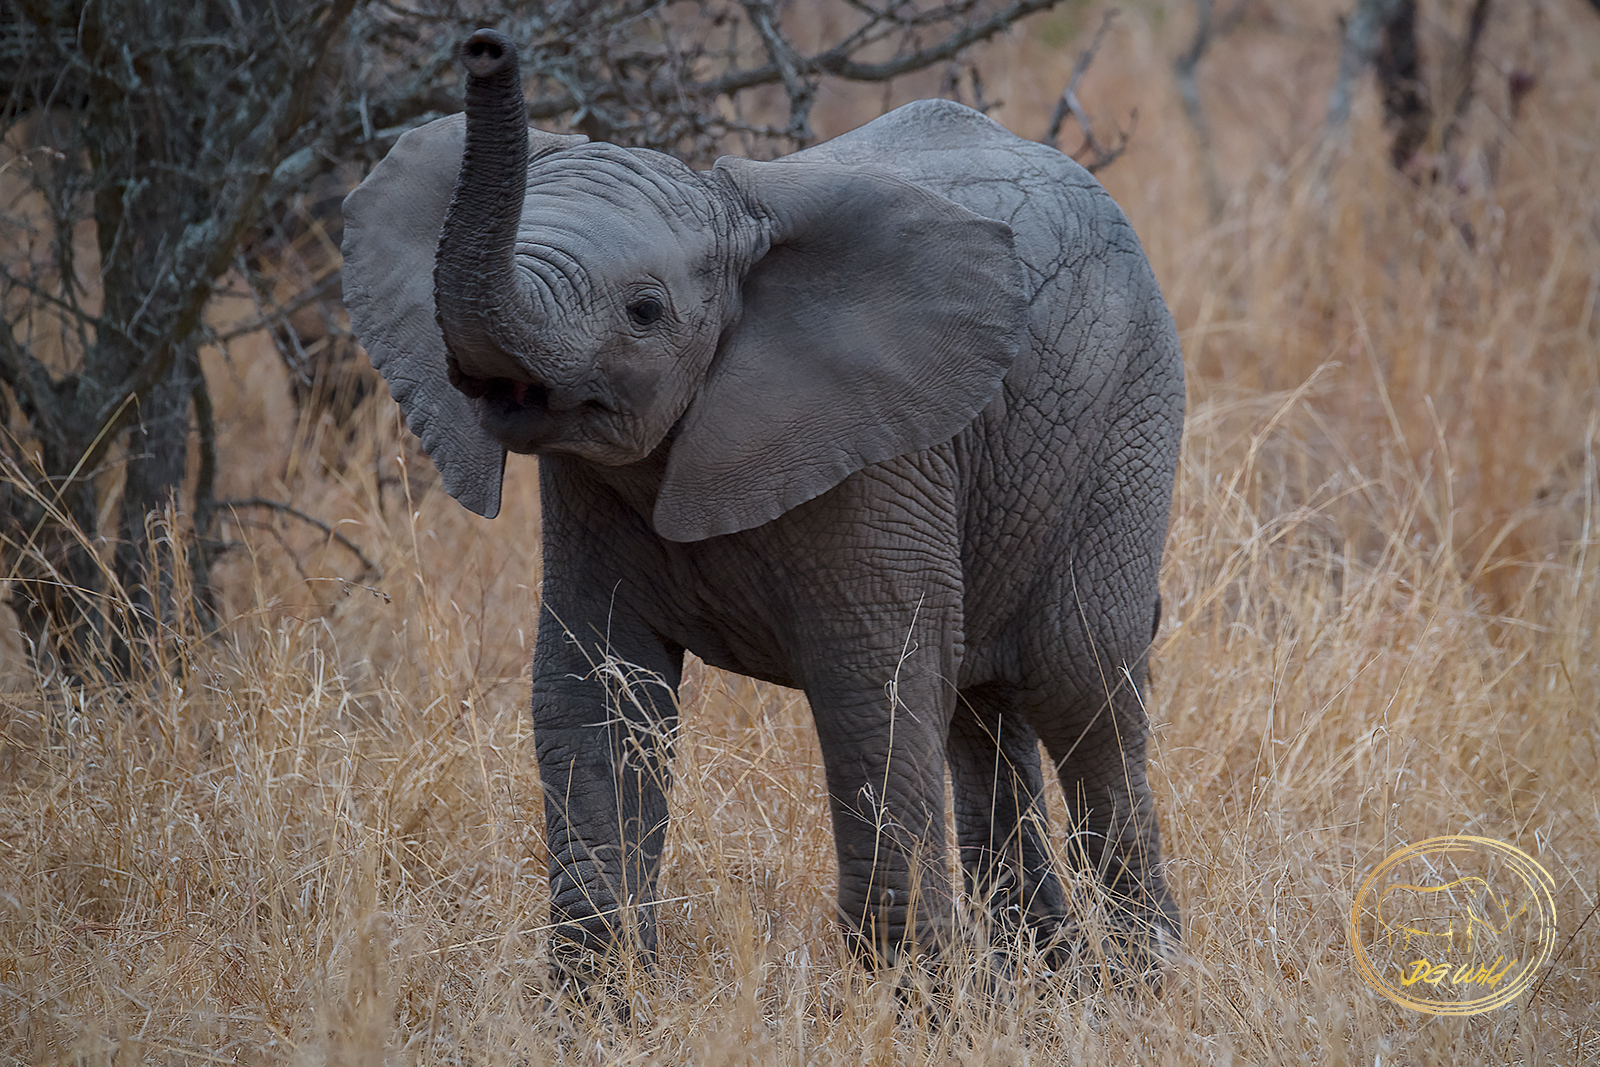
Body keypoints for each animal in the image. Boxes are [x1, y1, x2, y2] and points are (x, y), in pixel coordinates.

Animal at [344, 29, 1184, 991]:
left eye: (644, 311)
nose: (485, 48)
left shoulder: (882, 456)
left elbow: (874, 697)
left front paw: (908, 1001)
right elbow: (595, 692)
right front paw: (598, 1003)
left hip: (1125, 417)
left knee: (1083, 690)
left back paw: (1142, 987)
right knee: (983, 712)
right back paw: (1039, 986)